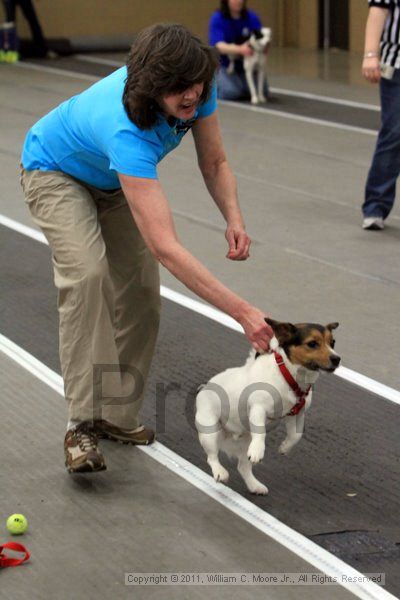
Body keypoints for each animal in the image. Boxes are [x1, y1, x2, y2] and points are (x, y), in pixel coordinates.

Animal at [195, 322, 340, 494]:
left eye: (332, 342)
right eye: (312, 344)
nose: (337, 359)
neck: (289, 378)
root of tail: (204, 388)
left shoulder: (297, 414)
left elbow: (296, 436)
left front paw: (285, 448)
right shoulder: (258, 408)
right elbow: (261, 432)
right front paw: (258, 450)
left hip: (245, 443)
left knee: (243, 466)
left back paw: (254, 485)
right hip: (210, 432)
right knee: (212, 457)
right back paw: (220, 472)